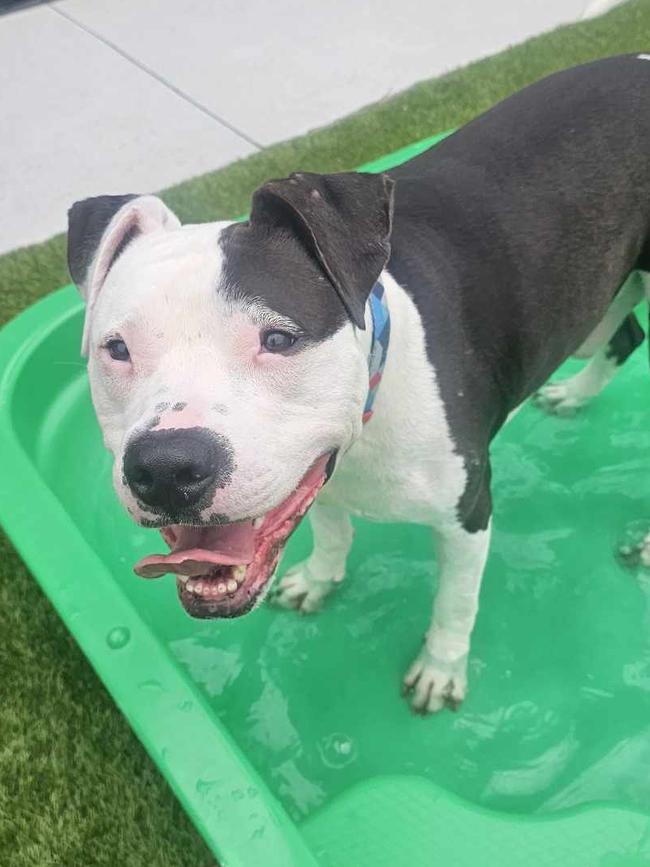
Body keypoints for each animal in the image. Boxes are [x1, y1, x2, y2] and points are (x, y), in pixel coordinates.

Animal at [67, 57, 650, 716]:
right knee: (624, 335)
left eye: (279, 339)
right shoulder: (317, 475)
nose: (166, 468)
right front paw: (321, 576)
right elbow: (331, 527)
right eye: (117, 349)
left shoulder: (468, 514)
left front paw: (440, 668)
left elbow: (455, 602)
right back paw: (575, 395)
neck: (377, 392)